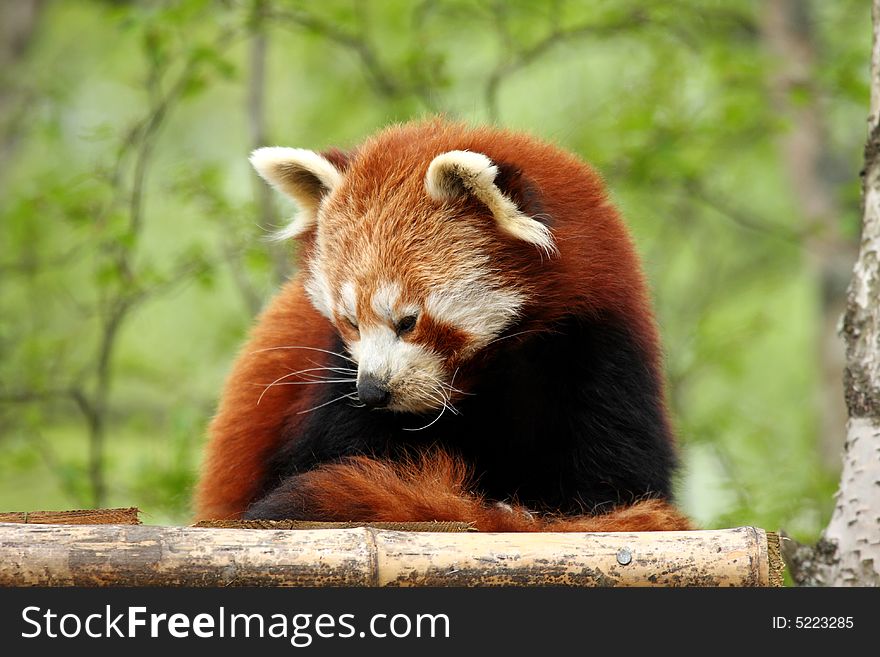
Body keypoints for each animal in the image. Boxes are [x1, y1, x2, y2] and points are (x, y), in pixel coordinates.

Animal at [196, 118, 692, 532]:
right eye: (350, 322)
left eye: (408, 322)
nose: (372, 391)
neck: (486, 377)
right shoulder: (332, 384)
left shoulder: (597, 350)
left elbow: (613, 483)